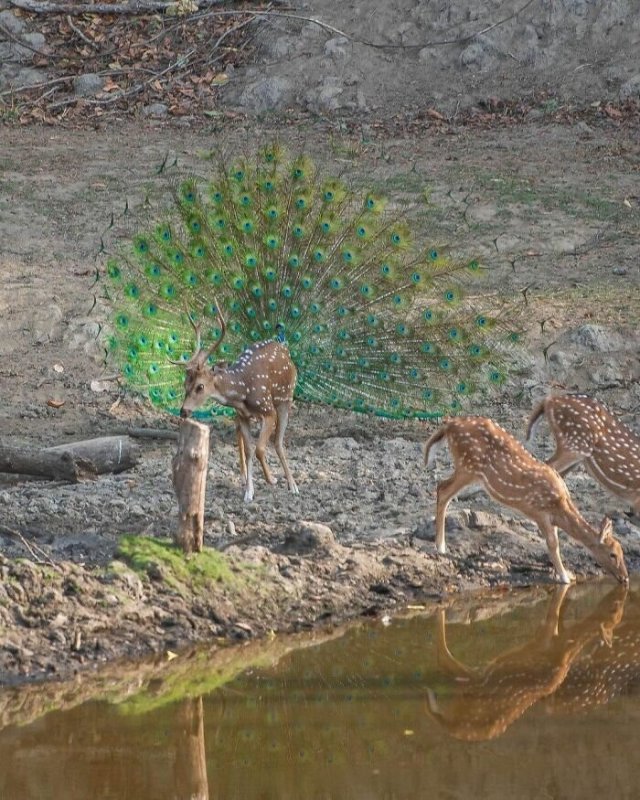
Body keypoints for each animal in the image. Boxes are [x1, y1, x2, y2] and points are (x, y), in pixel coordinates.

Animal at [176, 310, 298, 504]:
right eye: (185, 384)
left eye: (200, 386)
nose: (183, 411)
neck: (242, 391)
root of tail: (283, 347)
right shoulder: (243, 415)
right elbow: (249, 450)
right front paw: (249, 492)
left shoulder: (268, 410)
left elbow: (260, 449)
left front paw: (271, 479)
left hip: (285, 399)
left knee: (278, 441)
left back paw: (292, 485)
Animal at [422, 418, 628, 580]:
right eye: (612, 554)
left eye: (622, 551)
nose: (625, 578)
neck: (559, 506)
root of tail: (450, 424)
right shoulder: (539, 512)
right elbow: (553, 544)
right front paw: (565, 577)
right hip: (468, 466)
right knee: (443, 489)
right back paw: (440, 546)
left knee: (442, 488)